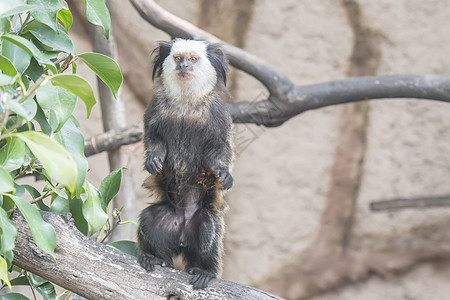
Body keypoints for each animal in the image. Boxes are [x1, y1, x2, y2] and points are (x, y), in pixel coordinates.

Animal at [138, 38, 234, 290]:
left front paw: (223, 173)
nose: (184, 67)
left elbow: (218, 150)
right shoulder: (156, 107)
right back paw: (156, 258)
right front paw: (154, 160)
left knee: (208, 228)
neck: (185, 102)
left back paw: (205, 270)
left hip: (201, 220)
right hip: (168, 220)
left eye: (193, 59)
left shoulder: (217, 114)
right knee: (149, 219)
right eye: (178, 58)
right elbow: (153, 138)